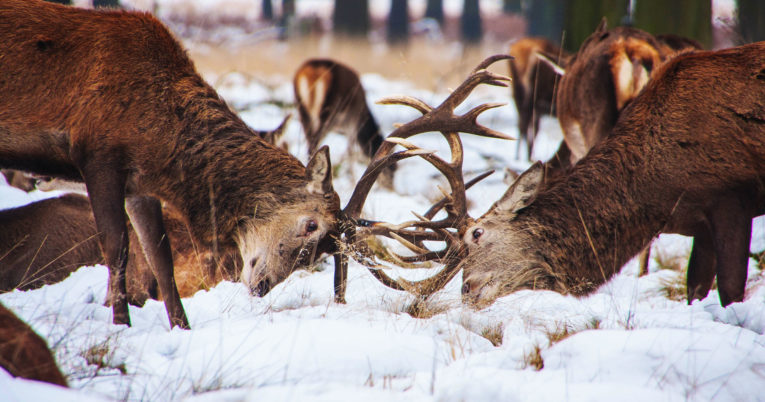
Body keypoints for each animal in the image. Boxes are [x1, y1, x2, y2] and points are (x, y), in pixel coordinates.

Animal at [0, 0, 340, 328]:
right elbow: (116, 248)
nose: (262, 286)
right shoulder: (99, 157)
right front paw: (121, 325)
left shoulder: (140, 184)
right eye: (311, 225)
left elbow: (160, 258)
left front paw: (181, 327)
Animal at [292, 59, 394, 188]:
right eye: (392, 167)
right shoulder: (352, 124)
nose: (391, 187)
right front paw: (352, 181)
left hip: (302, 110)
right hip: (326, 114)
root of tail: (312, 70)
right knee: (313, 144)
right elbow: (350, 152)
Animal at [456, 42, 764, 308]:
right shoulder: (700, 224)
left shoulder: (731, 197)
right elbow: (696, 288)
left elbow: (730, 290)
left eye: (476, 233)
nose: (466, 289)